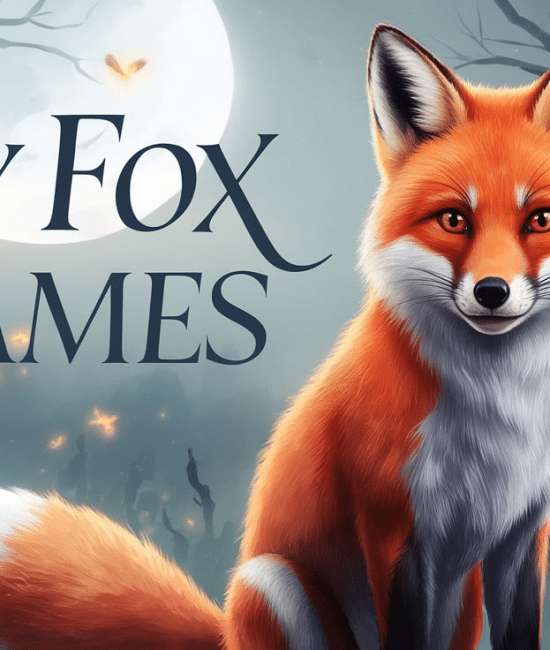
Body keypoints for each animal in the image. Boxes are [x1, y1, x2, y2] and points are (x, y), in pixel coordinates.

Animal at [2, 22, 550, 650]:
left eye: (540, 220)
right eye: (454, 219)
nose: (492, 292)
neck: (498, 408)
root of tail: (224, 635)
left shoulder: (522, 535)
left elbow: (522, 627)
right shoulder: (393, 526)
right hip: (275, 579)